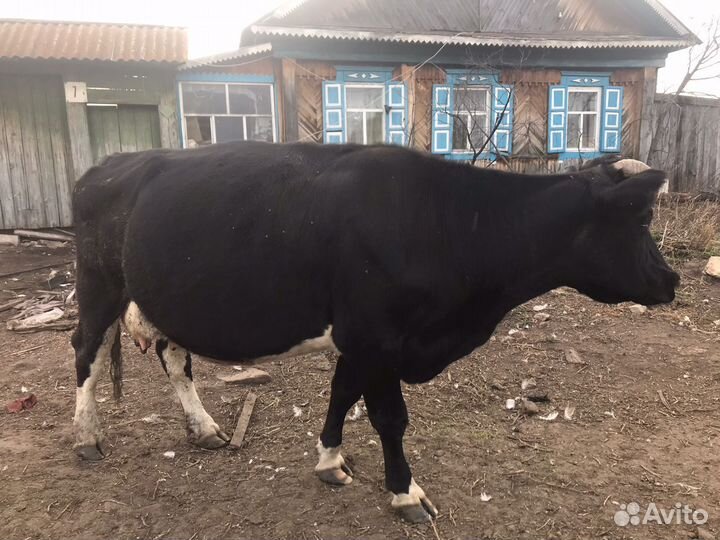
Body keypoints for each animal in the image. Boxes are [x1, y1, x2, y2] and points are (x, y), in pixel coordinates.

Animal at [71, 142, 678, 523]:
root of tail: (111, 163)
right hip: (99, 284)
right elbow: (389, 417)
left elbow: (343, 393)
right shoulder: (378, 336)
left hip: (163, 296)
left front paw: (329, 462)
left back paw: (204, 429)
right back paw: (87, 437)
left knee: (174, 357)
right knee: (87, 355)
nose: (671, 280)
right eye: (643, 219)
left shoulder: (361, 341)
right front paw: (405, 494)